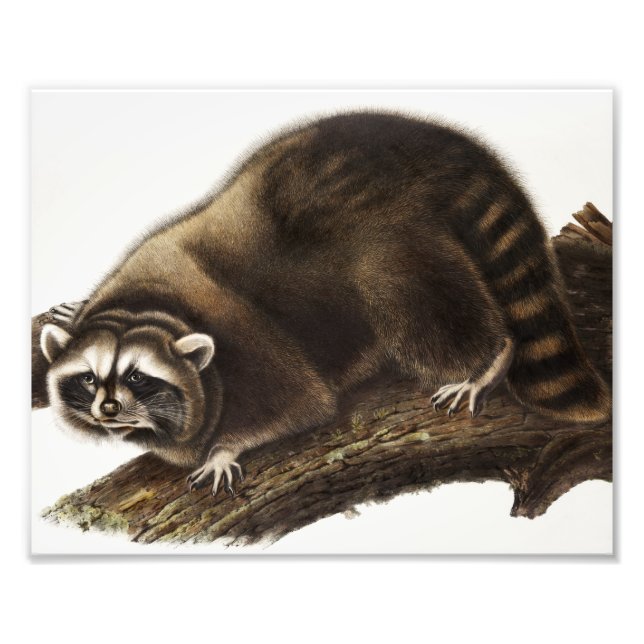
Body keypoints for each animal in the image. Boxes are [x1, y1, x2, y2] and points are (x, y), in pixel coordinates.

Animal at [40, 111, 611, 496]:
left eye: (138, 377)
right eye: (89, 378)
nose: (109, 409)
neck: (148, 308)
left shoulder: (247, 340)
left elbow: (302, 403)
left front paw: (225, 447)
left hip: (389, 236)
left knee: (408, 295)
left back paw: (487, 358)